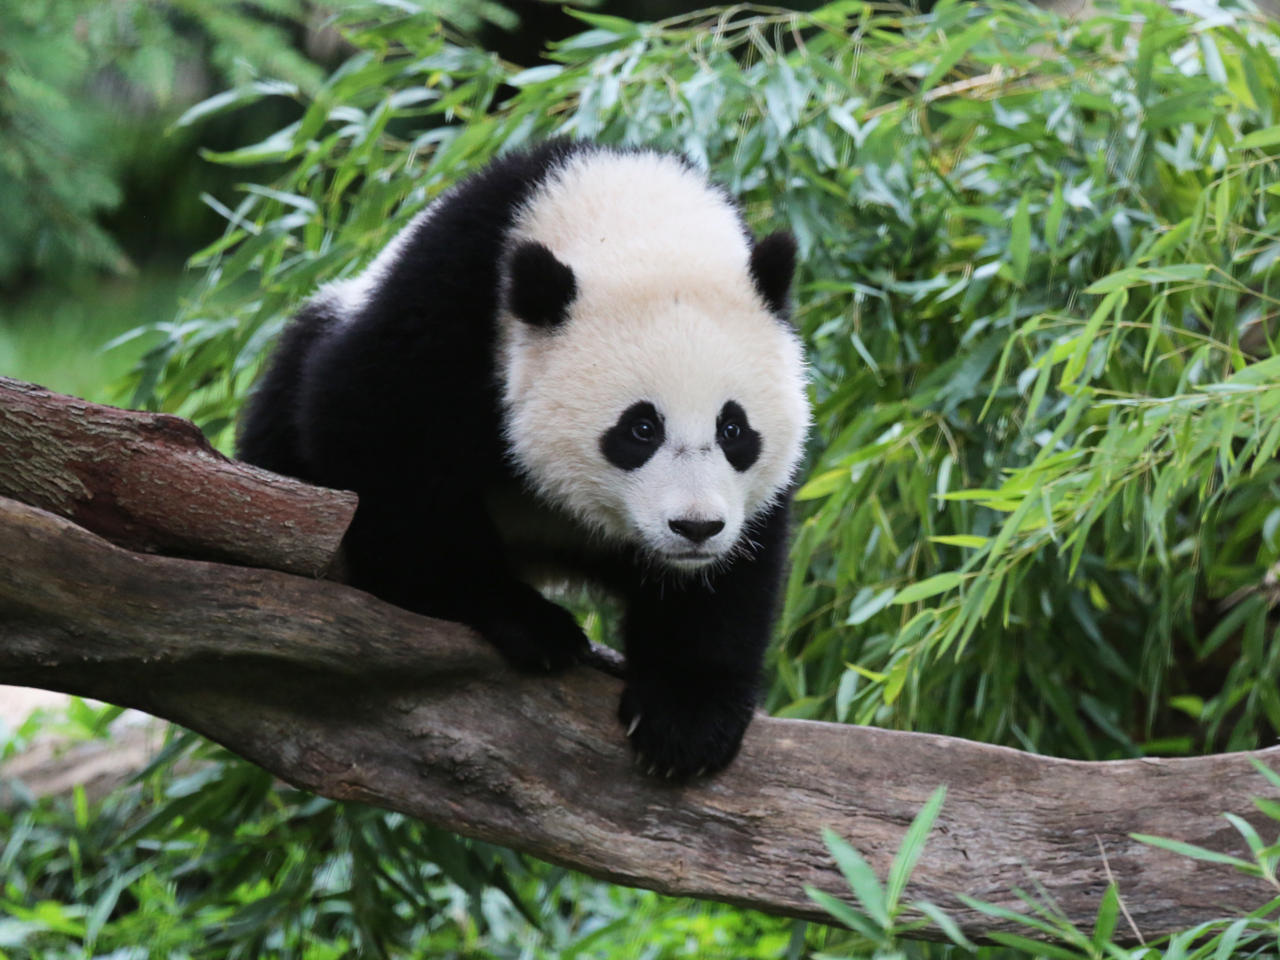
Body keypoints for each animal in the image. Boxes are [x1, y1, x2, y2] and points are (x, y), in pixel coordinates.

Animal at [238, 138, 808, 778]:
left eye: (733, 429)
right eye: (640, 429)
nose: (695, 527)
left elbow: (733, 574)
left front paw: (685, 720)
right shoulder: (448, 303)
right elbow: (379, 446)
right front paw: (527, 623)